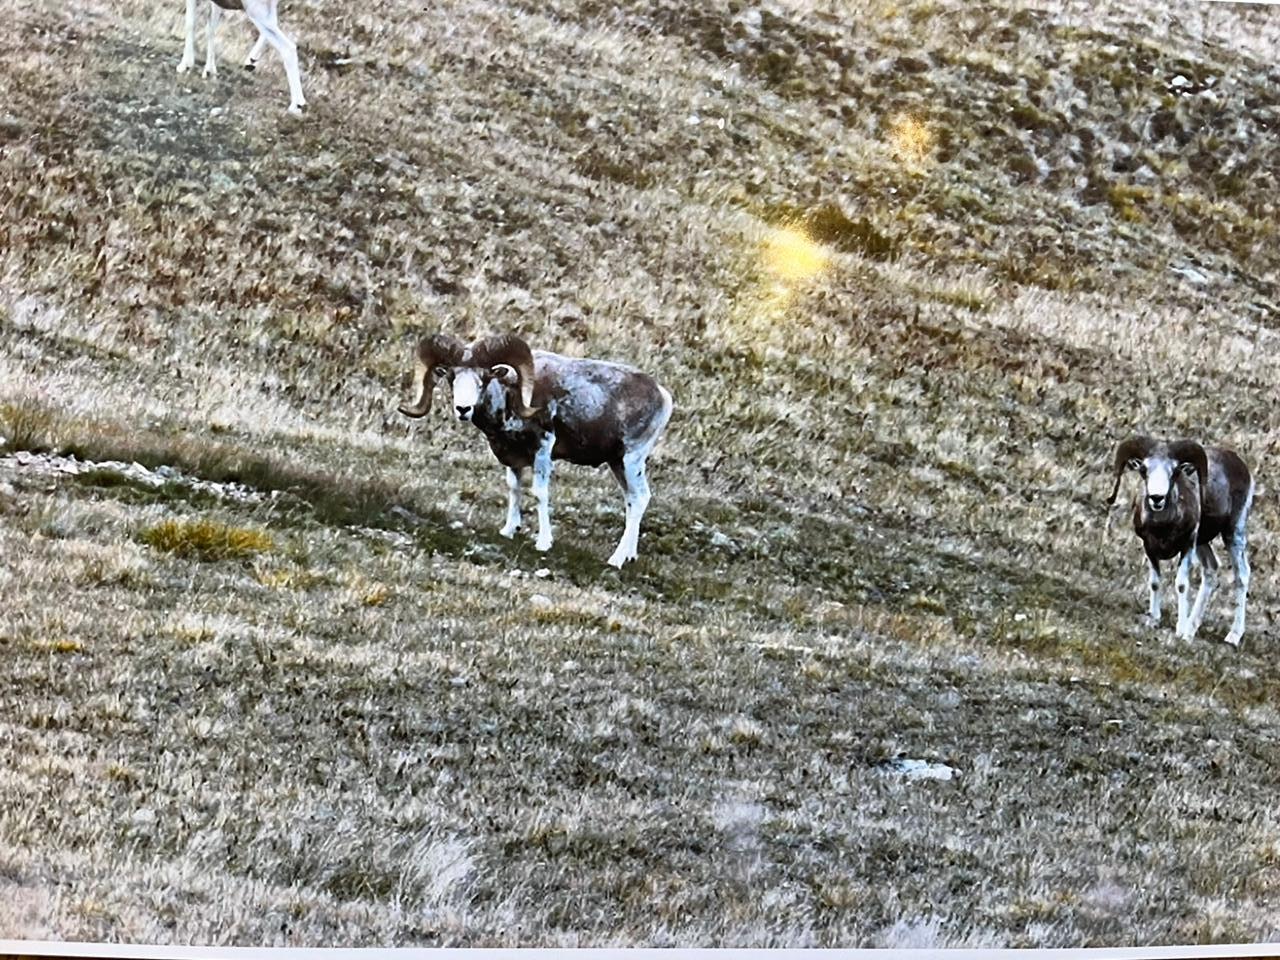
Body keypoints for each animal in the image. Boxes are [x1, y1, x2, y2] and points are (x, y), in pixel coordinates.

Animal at [1105, 435, 1254, 647]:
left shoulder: (1187, 546)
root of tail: (1238, 463)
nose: (1157, 498)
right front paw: (1154, 620)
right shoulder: (1149, 548)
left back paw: (1232, 637)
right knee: (1211, 570)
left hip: (1233, 534)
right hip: (1203, 543)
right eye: (1144, 470)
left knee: (1241, 575)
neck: (1162, 527)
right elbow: (1155, 582)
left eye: (1175, 471)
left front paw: (1179, 630)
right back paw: (1190, 632)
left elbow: (1182, 585)